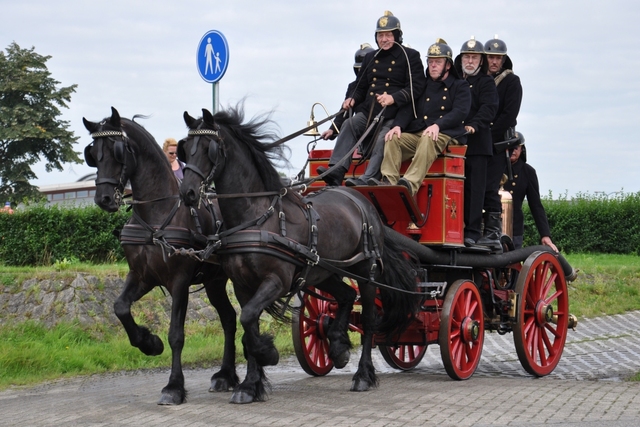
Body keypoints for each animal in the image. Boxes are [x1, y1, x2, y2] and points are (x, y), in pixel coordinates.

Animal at [81, 108, 239, 406]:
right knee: (229, 318)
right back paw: (226, 375)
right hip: (214, 282)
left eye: (118, 150)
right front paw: (149, 342)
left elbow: (176, 334)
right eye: (93, 153)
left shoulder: (179, 281)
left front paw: (174, 387)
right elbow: (120, 307)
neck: (157, 215)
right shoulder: (142, 276)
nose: (103, 199)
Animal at [180, 106, 420, 404]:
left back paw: (363, 375)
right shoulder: (243, 286)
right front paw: (249, 385)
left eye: (208, 149)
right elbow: (248, 324)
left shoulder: (276, 281)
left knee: (368, 318)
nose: (187, 193)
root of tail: (362, 200)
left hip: (366, 272)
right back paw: (338, 346)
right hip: (326, 271)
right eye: (186, 149)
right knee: (345, 296)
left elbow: (248, 319)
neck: (257, 217)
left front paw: (268, 355)